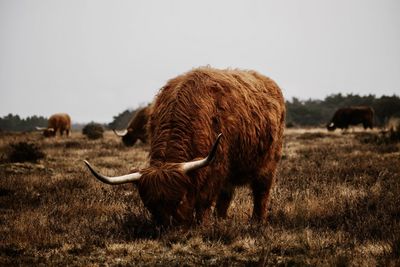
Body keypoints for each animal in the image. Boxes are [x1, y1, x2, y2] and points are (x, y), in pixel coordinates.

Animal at [84, 67, 286, 226]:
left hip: (268, 163)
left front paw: (203, 225)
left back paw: (257, 222)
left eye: (180, 200)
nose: (171, 228)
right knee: (226, 196)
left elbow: (204, 202)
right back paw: (221, 220)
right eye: (150, 206)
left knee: (261, 192)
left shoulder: (215, 167)